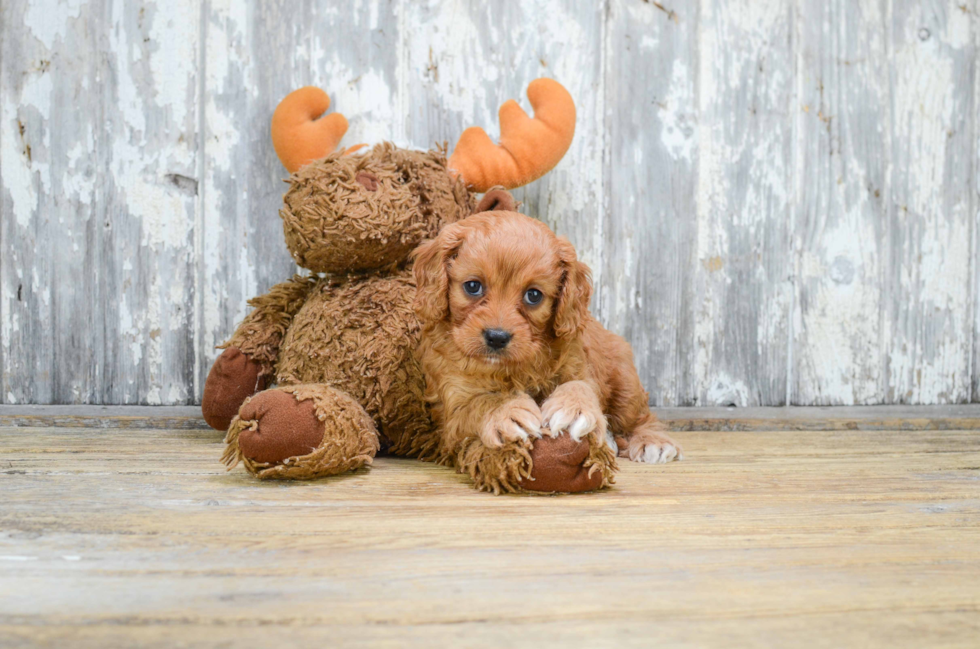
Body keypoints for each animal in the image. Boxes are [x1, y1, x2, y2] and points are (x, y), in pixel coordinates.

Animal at [414, 210, 680, 484]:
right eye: (473, 286)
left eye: (533, 295)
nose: (497, 337)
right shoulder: (451, 407)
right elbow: (479, 402)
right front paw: (508, 410)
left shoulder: (578, 366)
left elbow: (580, 385)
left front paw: (574, 409)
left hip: (625, 385)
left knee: (640, 417)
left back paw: (652, 441)